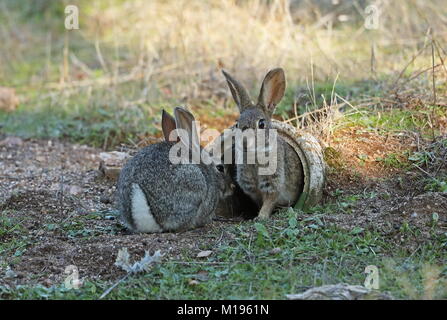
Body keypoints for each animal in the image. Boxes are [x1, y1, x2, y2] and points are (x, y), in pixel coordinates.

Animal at [221, 68, 304, 220]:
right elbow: (260, 202)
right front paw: (256, 216)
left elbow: (269, 201)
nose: (245, 143)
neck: (254, 155)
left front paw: (261, 217)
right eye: (237, 124)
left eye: (261, 124)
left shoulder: (273, 183)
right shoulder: (252, 188)